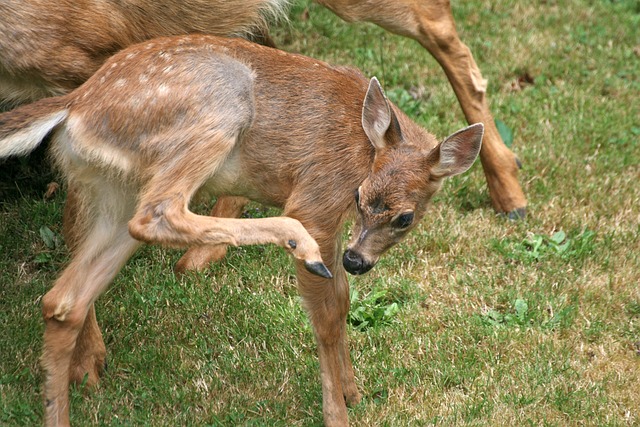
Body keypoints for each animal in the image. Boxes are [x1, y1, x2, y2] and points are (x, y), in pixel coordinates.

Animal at [0, 35, 480, 426]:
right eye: (360, 196)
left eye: (404, 218)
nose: (356, 260)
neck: (363, 146)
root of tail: (76, 105)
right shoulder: (318, 198)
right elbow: (328, 314)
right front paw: (339, 413)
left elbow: (342, 299)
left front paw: (352, 391)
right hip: (217, 110)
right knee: (159, 214)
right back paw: (292, 241)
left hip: (113, 193)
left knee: (63, 301)